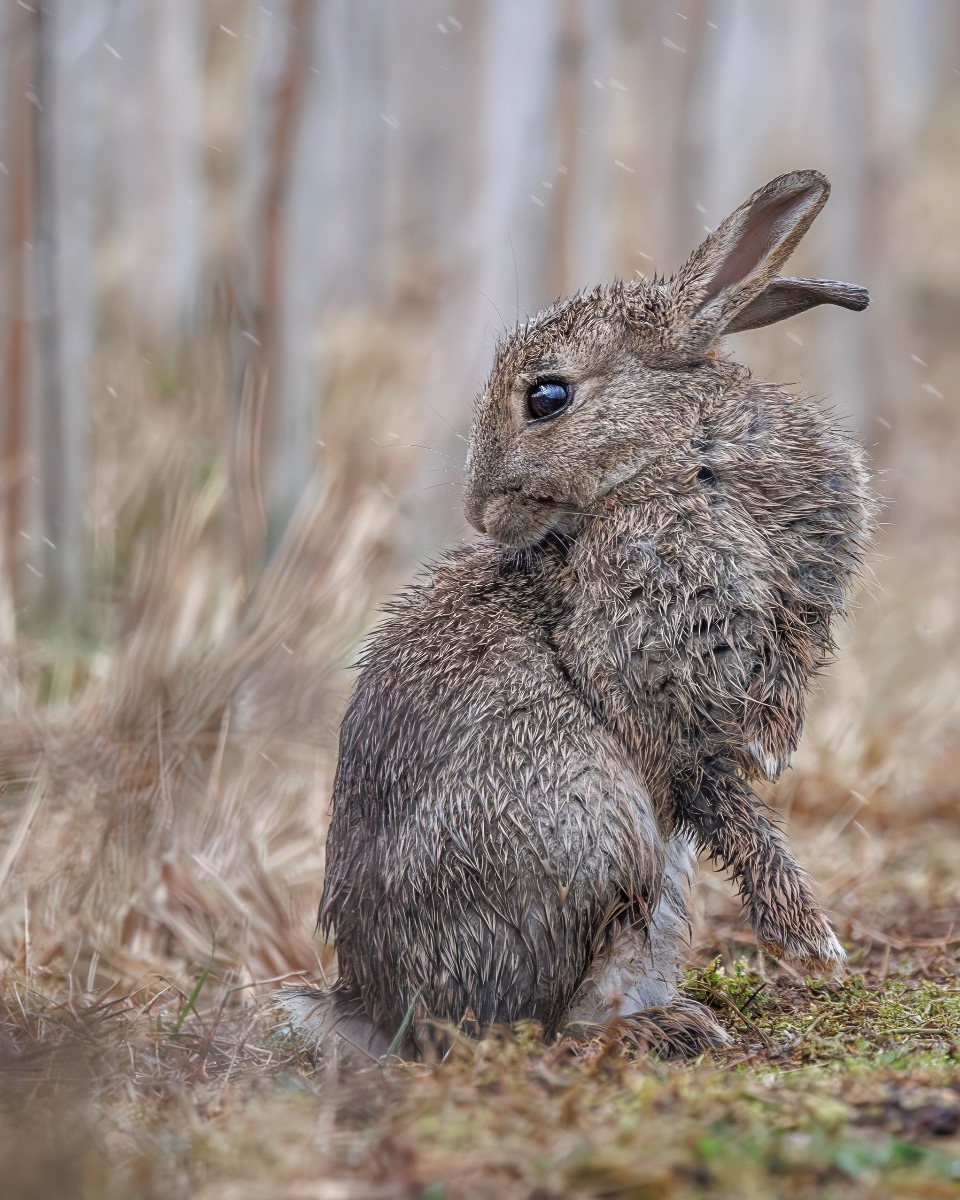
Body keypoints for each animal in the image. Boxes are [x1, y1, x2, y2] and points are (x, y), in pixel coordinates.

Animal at [282, 170, 872, 1059]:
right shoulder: (658, 682)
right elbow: (729, 803)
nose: (480, 513)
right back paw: (656, 1030)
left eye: (548, 396)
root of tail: (376, 1010)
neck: (679, 458)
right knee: (521, 1030)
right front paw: (812, 940)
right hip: (593, 833)